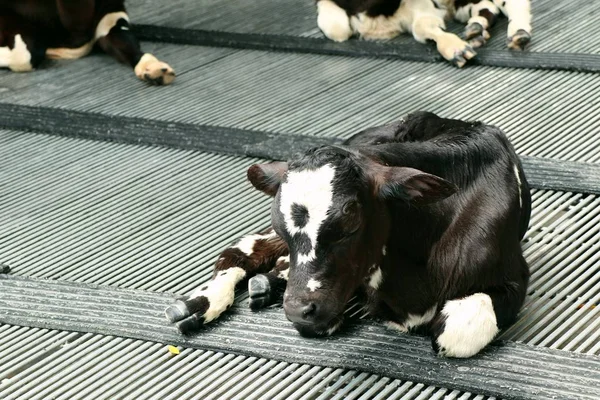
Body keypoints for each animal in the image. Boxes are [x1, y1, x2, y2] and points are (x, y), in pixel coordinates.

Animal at [166, 111, 532, 360]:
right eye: (281, 222)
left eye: (351, 223)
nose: (298, 309)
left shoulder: (514, 279)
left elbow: (453, 330)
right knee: (241, 248)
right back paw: (198, 304)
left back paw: (266, 283)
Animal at [316, 0, 532, 67]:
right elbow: (336, 27)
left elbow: (423, 25)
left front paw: (457, 50)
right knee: (488, 7)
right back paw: (476, 29)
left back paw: (519, 34)